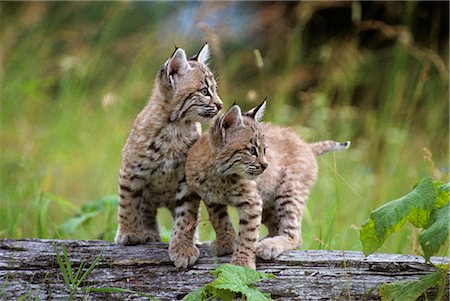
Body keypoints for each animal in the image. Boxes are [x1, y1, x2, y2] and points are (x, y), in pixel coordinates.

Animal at [115, 43, 222, 253]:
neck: (175, 127)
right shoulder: (131, 171)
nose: (220, 105)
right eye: (205, 91)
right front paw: (128, 233)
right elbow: (128, 203)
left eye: (214, 89)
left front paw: (183, 247)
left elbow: (187, 214)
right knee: (146, 210)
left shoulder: (187, 179)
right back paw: (149, 233)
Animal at [181, 102, 350, 268]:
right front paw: (226, 243)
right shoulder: (211, 199)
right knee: (276, 225)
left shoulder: (252, 200)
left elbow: (248, 233)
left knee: (295, 235)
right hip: (268, 197)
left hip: (289, 190)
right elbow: (219, 221)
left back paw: (270, 245)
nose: (265, 165)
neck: (218, 173)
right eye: (252, 150)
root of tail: (306, 145)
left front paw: (242, 263)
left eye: (265, 150)